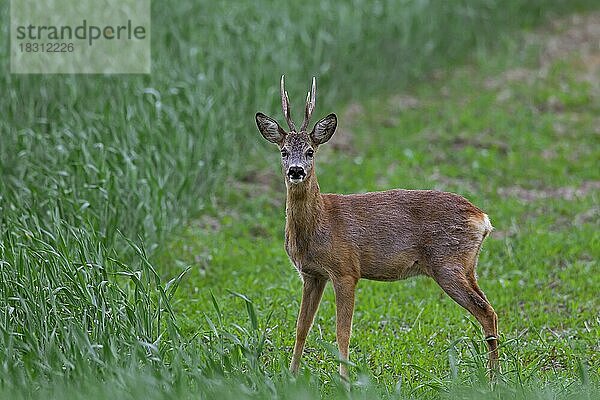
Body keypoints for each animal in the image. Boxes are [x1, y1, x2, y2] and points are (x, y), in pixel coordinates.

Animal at [253, 76, 496, 382]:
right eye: (284, 151)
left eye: (310, 151)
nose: (296, 170)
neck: (321, 225)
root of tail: (482, 218)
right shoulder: (311, 275)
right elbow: (301, 328)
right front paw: (291, 376)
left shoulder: (346, 270)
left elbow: (342, 332)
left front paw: (345, 380)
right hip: (467, 265)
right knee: (489, 308)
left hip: (448, 263)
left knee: (486, 311)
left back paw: (493, 379)